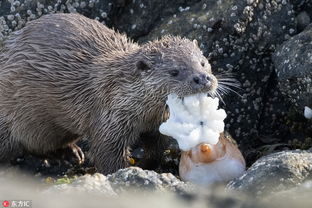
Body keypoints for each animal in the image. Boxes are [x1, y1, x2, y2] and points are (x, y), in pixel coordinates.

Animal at [0, 13, 218, 175]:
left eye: (202, 62)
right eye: (174, 71)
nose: (203, 79)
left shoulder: (157, 124)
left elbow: (157, 149)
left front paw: (145, 165)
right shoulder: (108, 120)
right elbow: (108, 157)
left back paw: (70, 154)